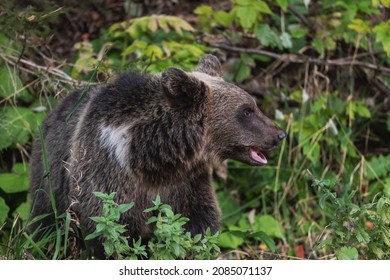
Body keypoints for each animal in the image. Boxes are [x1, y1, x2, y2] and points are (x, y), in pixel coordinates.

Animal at [29, 54, 284, 256]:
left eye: (252, 105)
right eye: (247, 111)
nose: (279, 134)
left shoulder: (187, 183)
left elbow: (199, 223)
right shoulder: (106, 174)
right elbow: (110, 232)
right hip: (51, 174)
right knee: (45, 222)